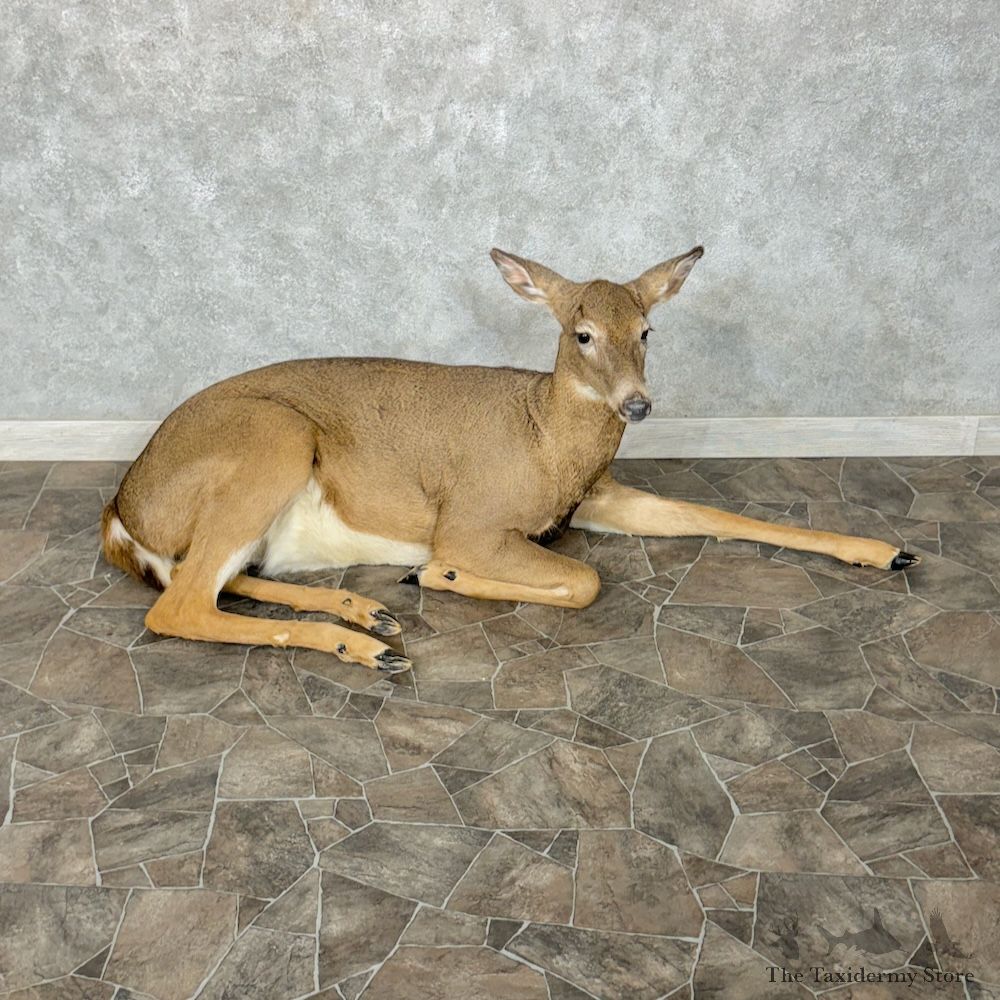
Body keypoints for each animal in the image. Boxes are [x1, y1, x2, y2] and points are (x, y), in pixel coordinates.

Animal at [102, 246, 918, 673]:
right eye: (582, 333)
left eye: (647, 330)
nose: (637, 405)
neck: (546, 440)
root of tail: (122, 511)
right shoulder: (471, 521)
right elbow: (585, 580)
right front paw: (440, 574)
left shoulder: (597, 497)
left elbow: (714, 513)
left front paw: (883, 548)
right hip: (271, 442)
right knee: (177, 608)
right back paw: (364, 643)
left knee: (225, 584)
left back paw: (366, 613)